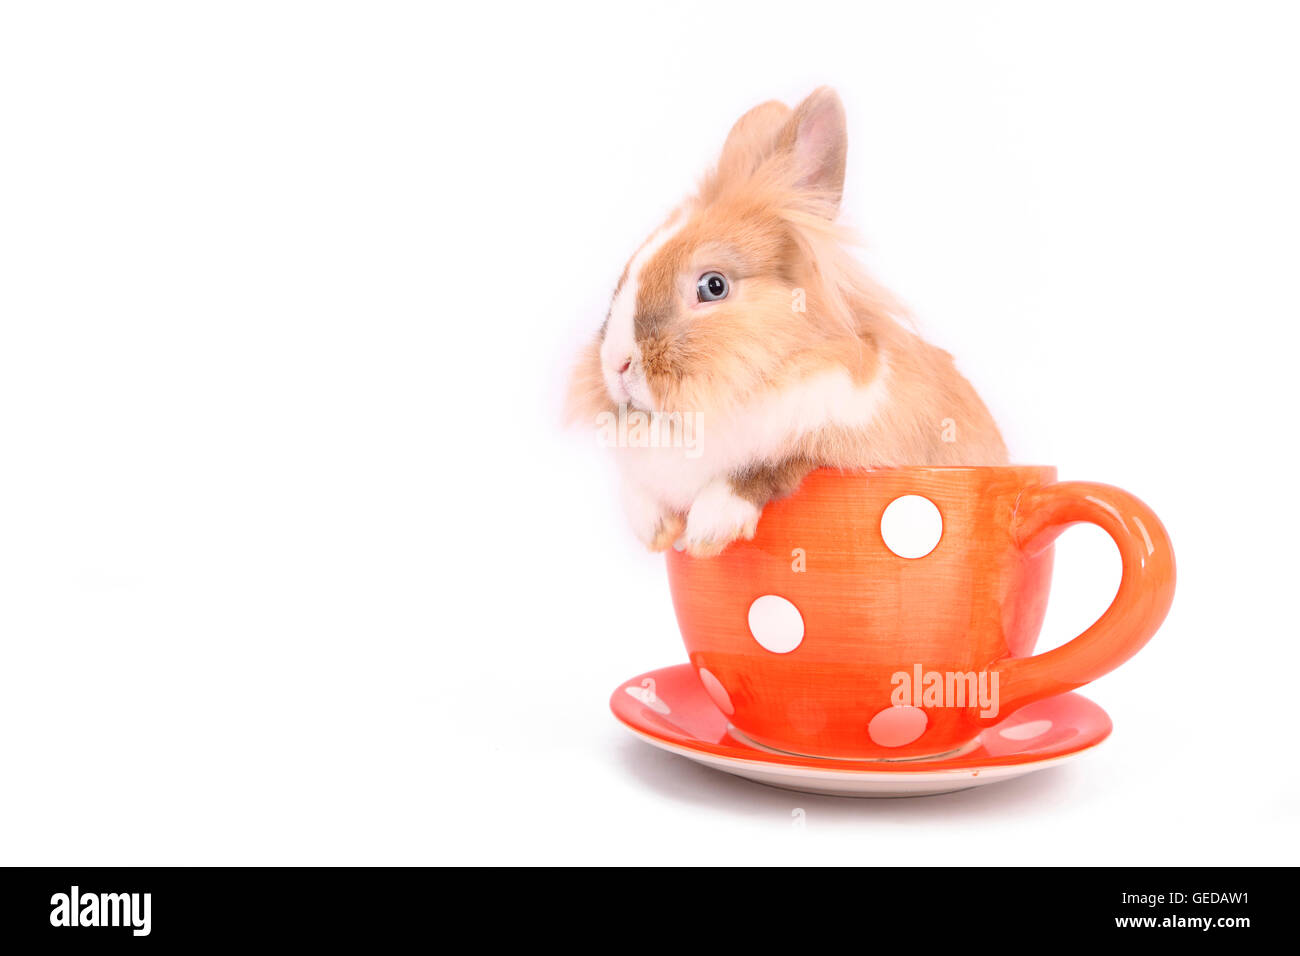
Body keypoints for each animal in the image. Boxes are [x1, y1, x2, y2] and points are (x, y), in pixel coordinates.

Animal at [567, 87, 1008, 558]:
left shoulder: (839, 444)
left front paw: (707, 531)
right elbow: (636, 487)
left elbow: (764, 468)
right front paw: (655, 530)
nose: (616, 364)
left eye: (713, 286)